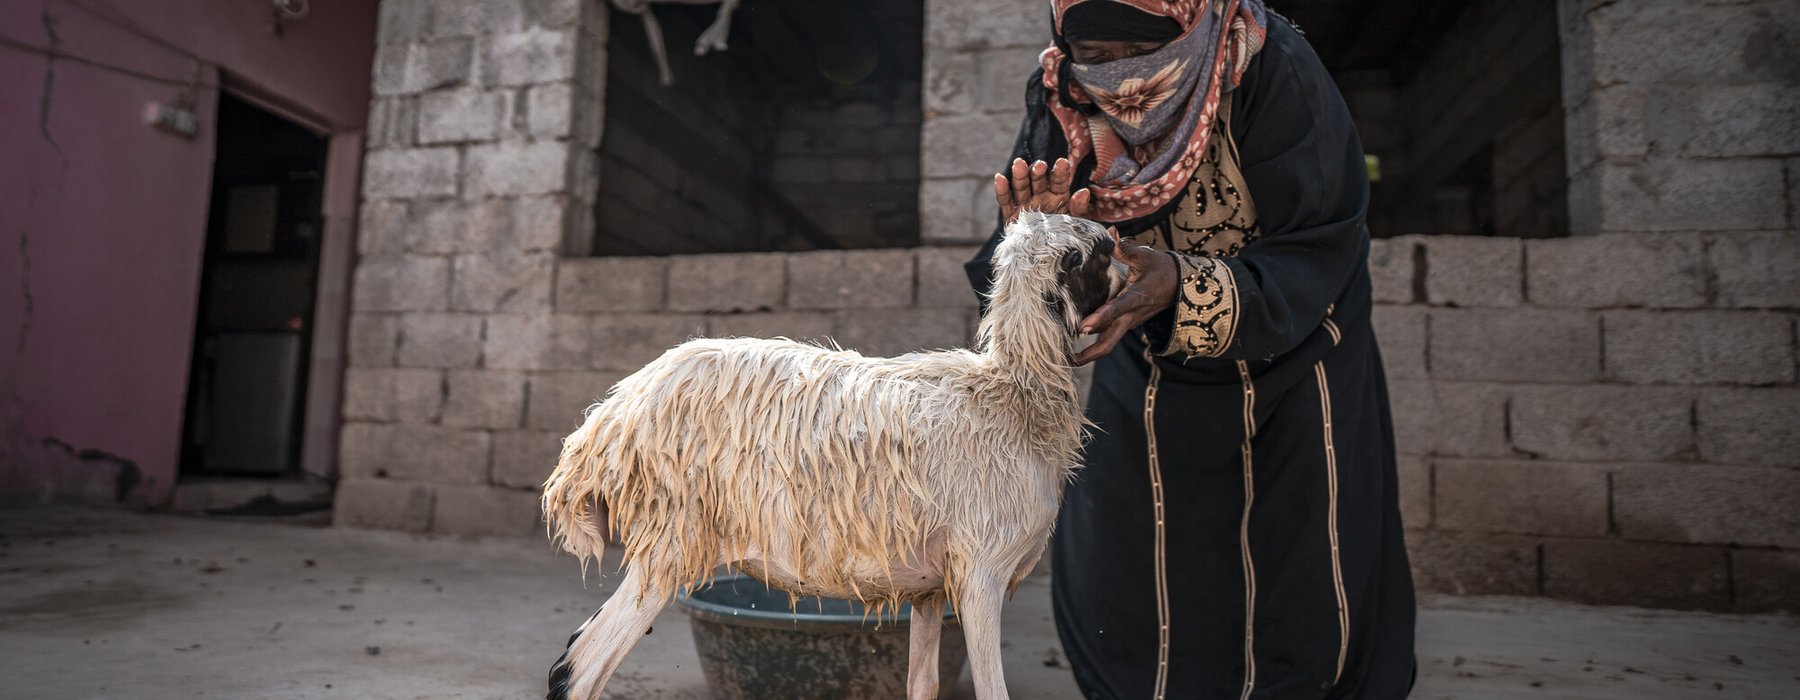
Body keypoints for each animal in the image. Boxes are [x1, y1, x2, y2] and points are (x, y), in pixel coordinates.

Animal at [540, 209, 1116, 694]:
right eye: (1102, 251)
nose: (1127, 252)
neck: (1015, 393)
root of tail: (608, 422)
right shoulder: (981, 572)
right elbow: (994, 692)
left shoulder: (930, 592)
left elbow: (922, 685)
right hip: (674, 537)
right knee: (581, 665)